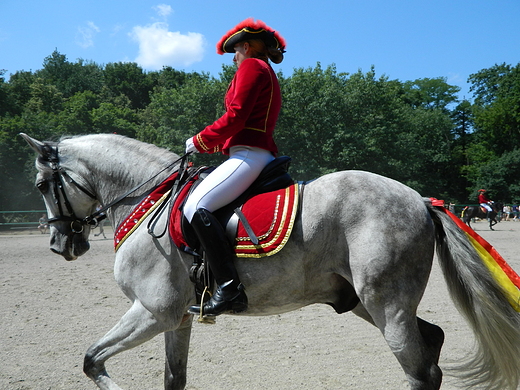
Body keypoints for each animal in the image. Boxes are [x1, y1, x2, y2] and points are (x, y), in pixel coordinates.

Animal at [21, 133, 520, 388]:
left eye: (43, 185)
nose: (60, 245)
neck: (149, 199)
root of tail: (418, 198)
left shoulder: (152, 311)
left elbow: (92, 361)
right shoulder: (176, 319)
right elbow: (172, 379)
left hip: (387, 305)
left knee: (418, 369)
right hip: (363, 302)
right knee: (431, 346)